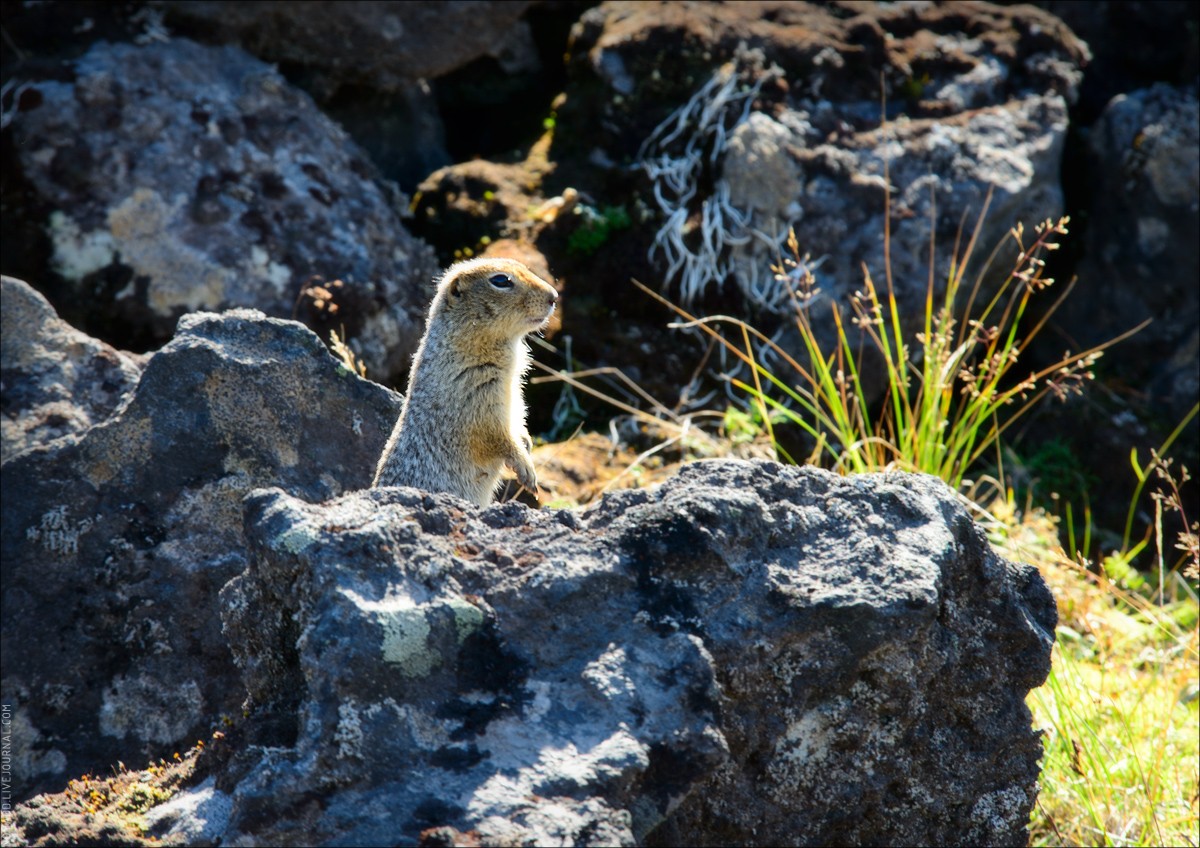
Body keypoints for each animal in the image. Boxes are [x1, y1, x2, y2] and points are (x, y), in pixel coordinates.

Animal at [372, 259, 559, 508]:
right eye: (501, 280)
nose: (554, 296)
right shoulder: (476, 400)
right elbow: (496, 435)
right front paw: (526, 469)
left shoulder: (512, 397)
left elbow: (517, 422)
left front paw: (526, 442)